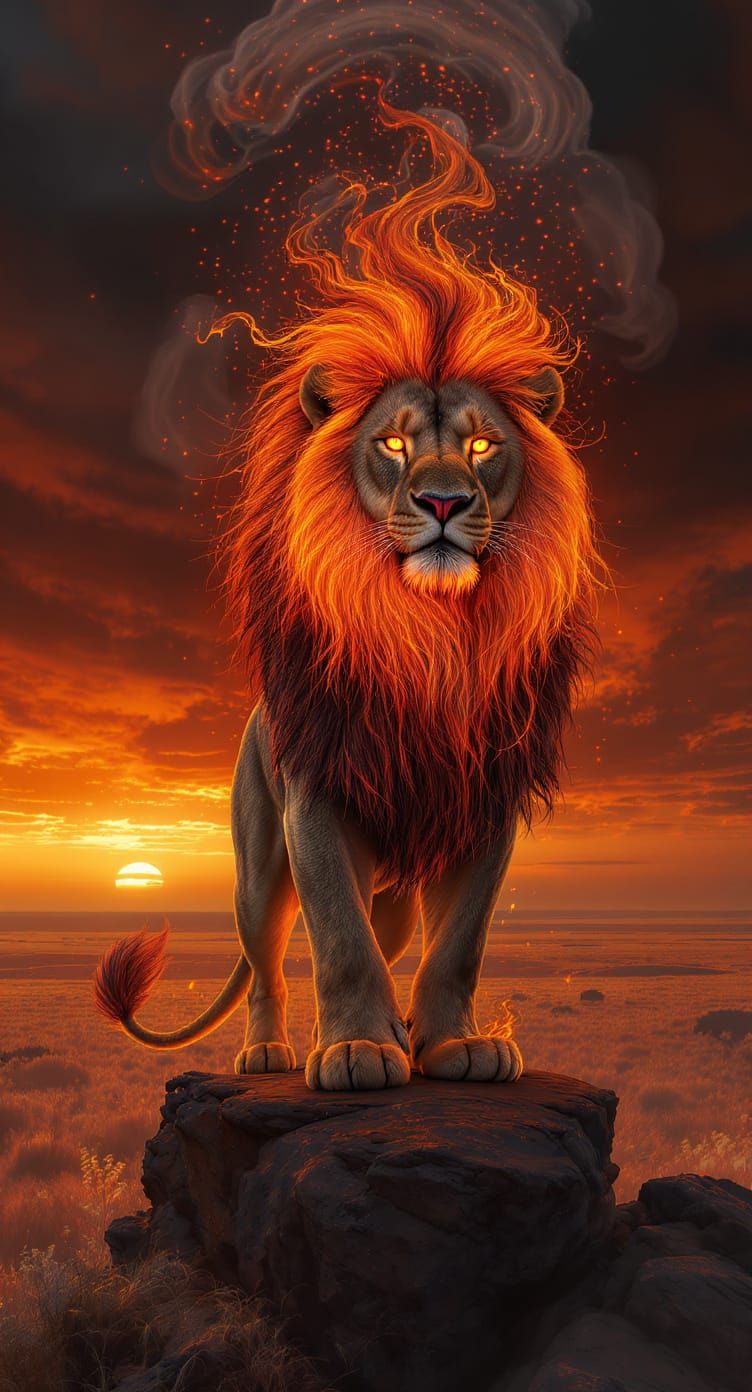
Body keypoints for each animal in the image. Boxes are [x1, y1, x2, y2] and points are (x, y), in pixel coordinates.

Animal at [95, 99, 601, 1091]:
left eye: (482, 447)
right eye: (395, 446)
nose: (443, 502)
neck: (431, 631)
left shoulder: (483, 802)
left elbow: (459, 946)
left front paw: (453, 1044)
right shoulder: (319, 800)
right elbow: (337, 940)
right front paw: (360, 1050)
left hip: (395, 888)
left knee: (398, 936)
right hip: (258, 864)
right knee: (267, 961)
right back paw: (268, 1050)